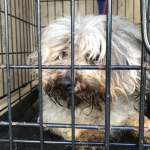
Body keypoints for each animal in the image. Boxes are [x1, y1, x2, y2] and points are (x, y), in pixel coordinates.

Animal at [27, 14, 150, 150]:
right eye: (62, 54)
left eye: (93, 56)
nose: (64, 83)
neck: (94, 103)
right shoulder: (52, 116)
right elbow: (72, 125)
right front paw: (90, 135)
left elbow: (139, 119)